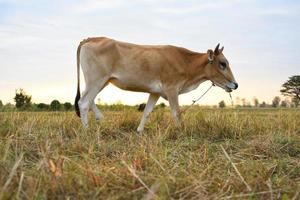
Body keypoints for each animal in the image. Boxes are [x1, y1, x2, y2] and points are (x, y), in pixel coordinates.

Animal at [74, 37, 238, 132]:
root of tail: (91, 38)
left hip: (101, 82)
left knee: (89, 100)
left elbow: (147, 112)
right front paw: (181, 132)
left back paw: (100, 118)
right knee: (83, 103)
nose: (235, 85)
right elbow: (176, 113)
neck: (186, 62)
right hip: (96, 80)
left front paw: (139, 131)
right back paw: (87, 131)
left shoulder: (155, 92)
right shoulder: (172, 89)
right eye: (222, 63)